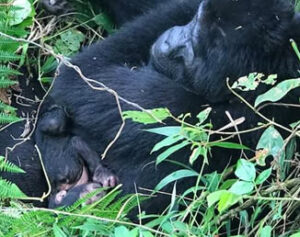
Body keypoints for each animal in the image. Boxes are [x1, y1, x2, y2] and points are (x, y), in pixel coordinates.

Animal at [41, 0, 300, 214]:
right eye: (195, 20)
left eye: (196, 44)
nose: (169, 40)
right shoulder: (180, 7)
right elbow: (84, 71)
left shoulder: (239, 118)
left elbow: (82, 76)